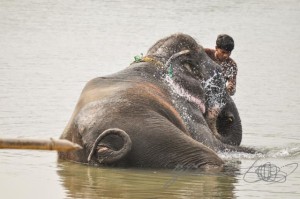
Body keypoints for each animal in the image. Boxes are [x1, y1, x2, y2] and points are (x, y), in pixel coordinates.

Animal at [58, 32, 253, 169]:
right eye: (220, 76)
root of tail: (101, 147)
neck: (157, 59)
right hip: (155, 135)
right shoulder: (185, 108)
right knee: (210, 158)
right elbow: (213, 144)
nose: (228, 118)